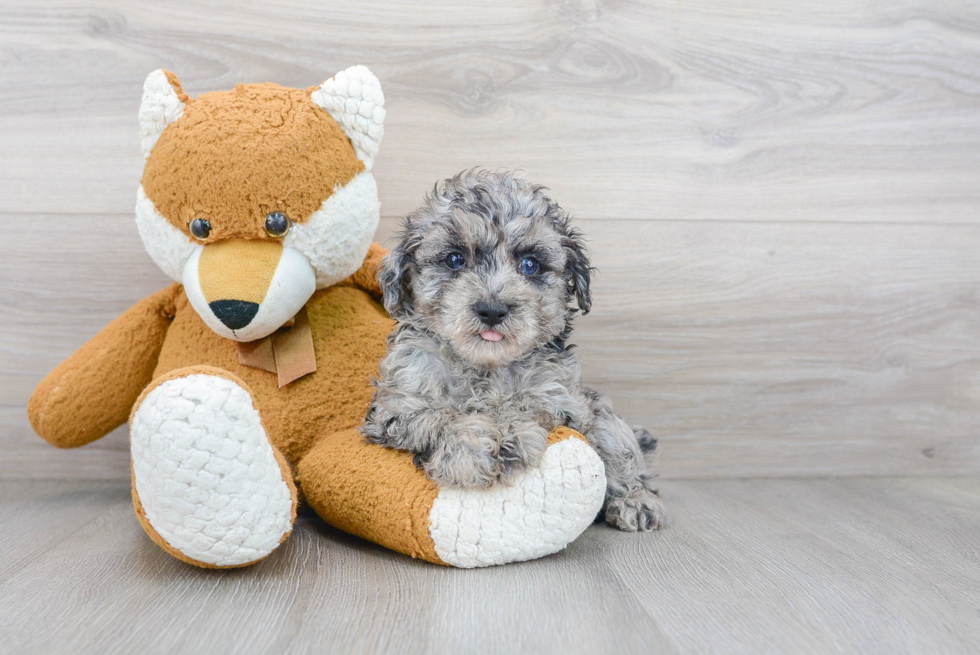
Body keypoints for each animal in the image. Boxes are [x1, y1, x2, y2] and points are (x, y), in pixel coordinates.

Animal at [362, 170, 668, 532]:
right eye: (455, 259)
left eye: (530, 264)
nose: (492, 310)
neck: (485, 368)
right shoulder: (396, 408)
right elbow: (442, 417)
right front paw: (475, 448)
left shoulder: (564, 400)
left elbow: (529, 409)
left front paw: (509, 434)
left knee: (623, 452)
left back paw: (637, 501)